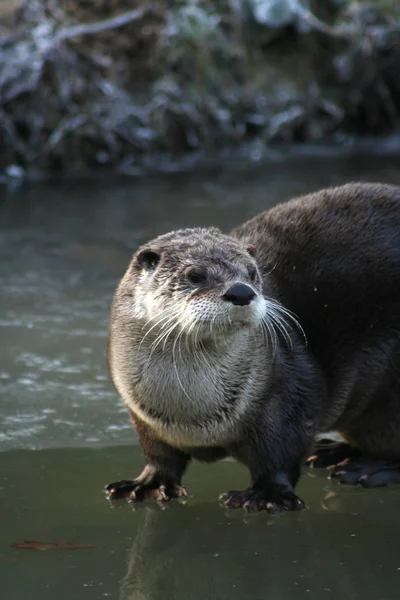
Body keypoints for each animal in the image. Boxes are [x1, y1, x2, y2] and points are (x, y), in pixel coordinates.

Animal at [105, 182, 400, 510]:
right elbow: (159, 455)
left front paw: (266, 495)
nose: (241, 291)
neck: (192, 415)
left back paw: (368, 469)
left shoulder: (285, 393)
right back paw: (332, 452)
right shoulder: (142, 416)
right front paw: (148, 483)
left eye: (252, 273)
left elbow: (280, 454)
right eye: (195, 275)